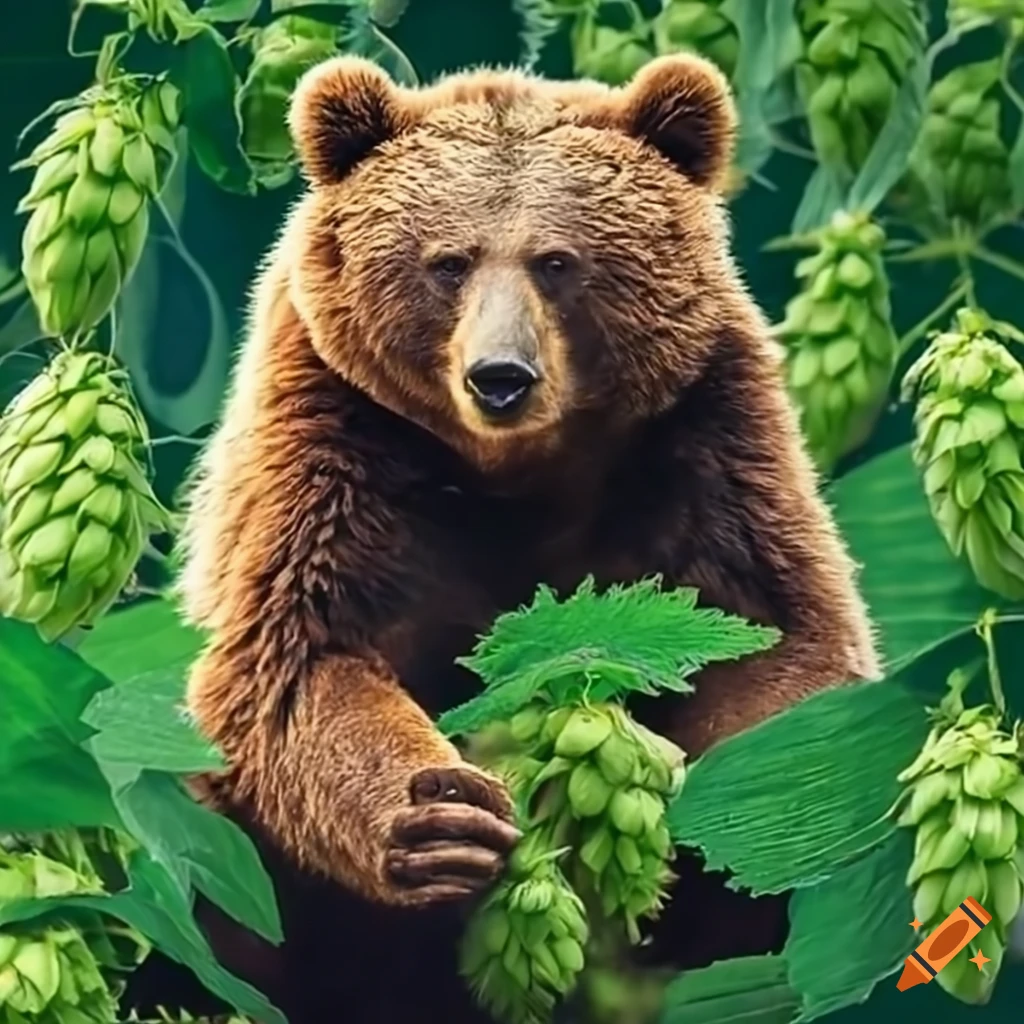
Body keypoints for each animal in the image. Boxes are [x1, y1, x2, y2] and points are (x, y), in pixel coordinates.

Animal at [143, 51, 882, 1024]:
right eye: (448, 262)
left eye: (558, 261)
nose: (500, 376)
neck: (516, 475)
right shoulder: (337, 440)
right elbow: (297, 659)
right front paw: (442, 817)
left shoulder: (704, 440)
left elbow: (776, 636)